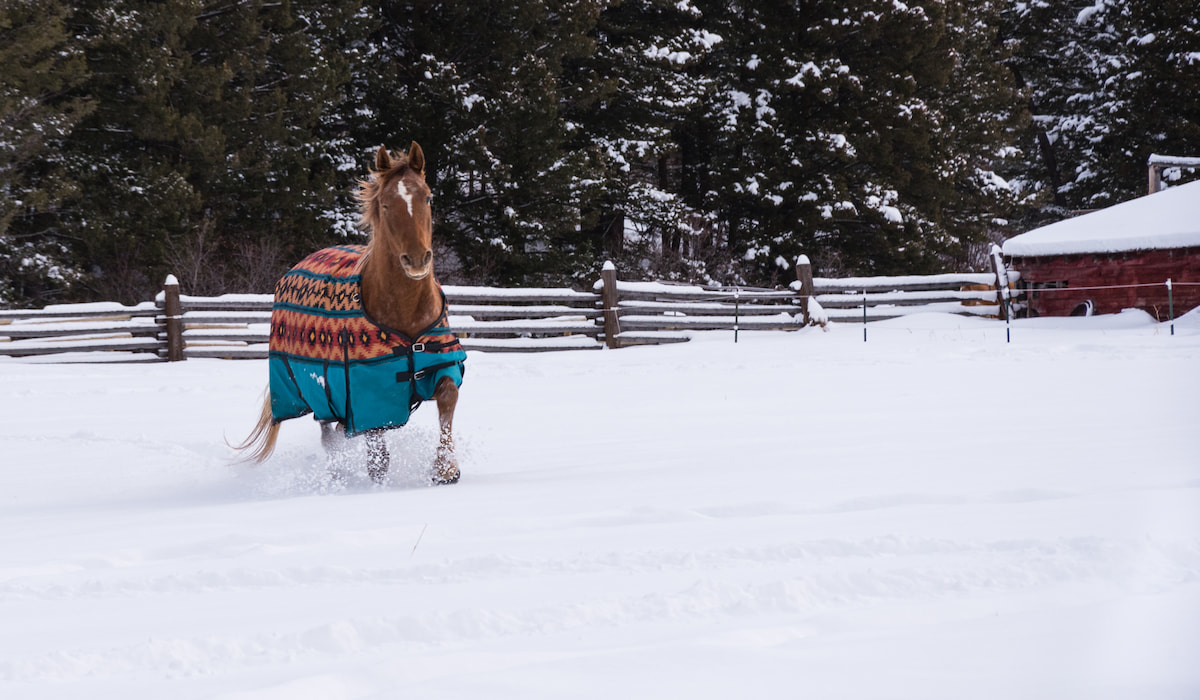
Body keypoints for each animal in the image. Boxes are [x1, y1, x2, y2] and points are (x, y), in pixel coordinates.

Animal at [234, 142, 465, 485]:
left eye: (427, 196)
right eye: (385, 204)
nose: (416, 260)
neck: (405, 311)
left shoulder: (440, 364)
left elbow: (448, 396)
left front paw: (445, 469)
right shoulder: (365, 393)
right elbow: (377, 457)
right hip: (320, 393)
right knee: (329, 437)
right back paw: (338, 476)